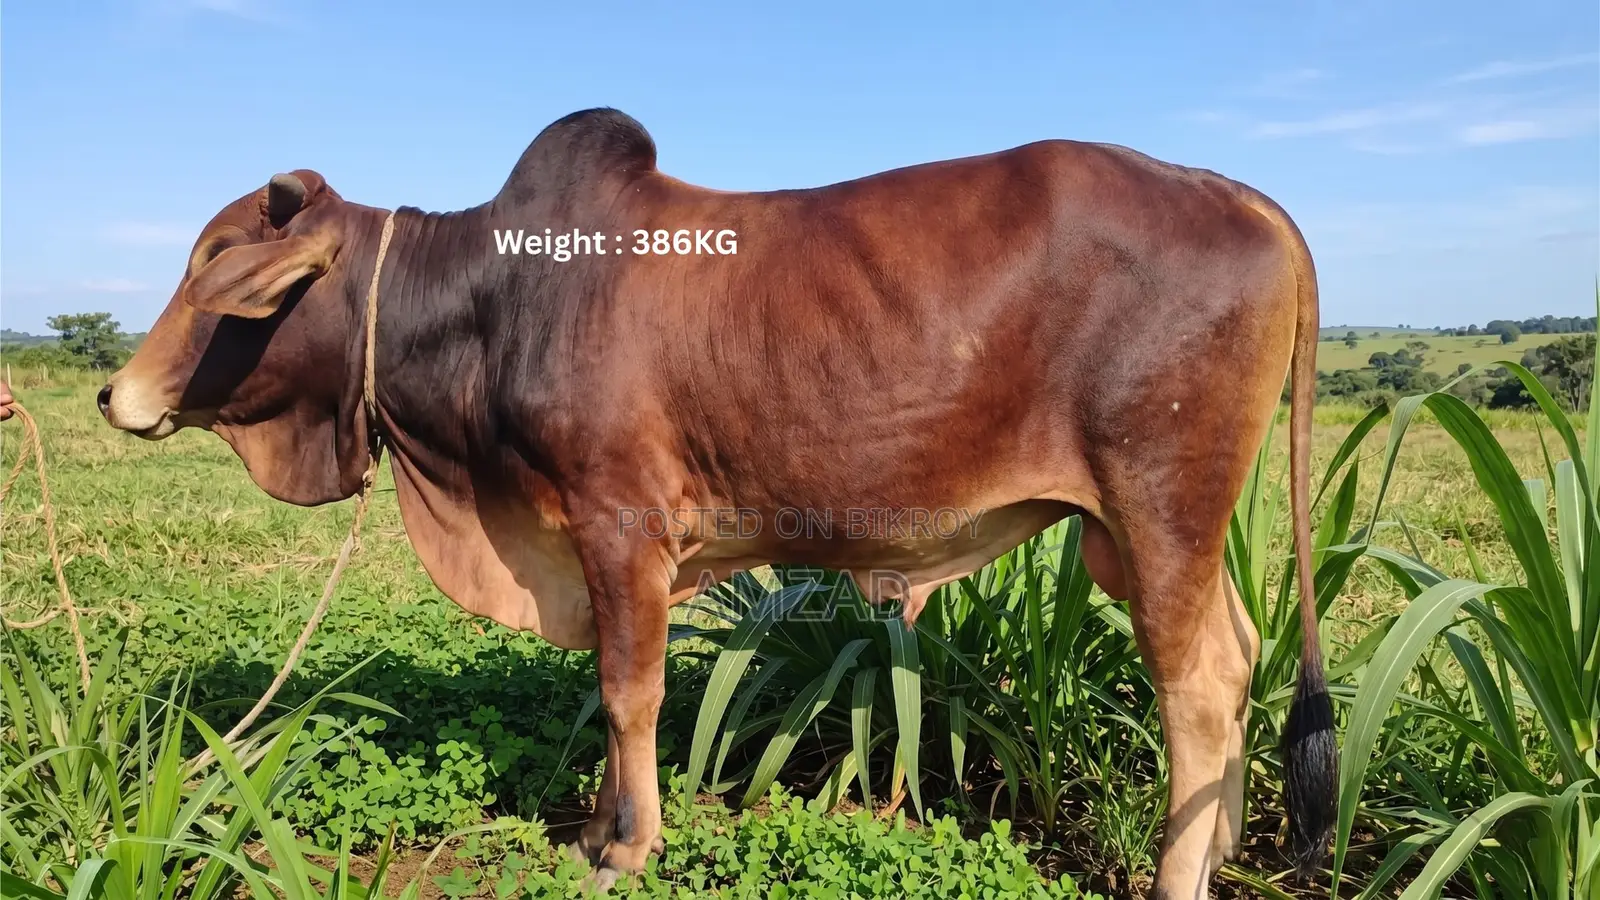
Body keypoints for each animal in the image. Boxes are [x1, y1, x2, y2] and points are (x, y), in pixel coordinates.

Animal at [98, 107, 1336, 897]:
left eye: (215, 259)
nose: (116, 393)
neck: (493, 302)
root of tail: (1241, 194)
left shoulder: (619, 527)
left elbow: (629, 692)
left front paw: (626, 848)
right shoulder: (591, 547)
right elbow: (610, 697)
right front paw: (599, 824)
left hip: (1160, 504)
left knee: (1198, 688)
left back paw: (1180, 876)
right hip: (1134, 532)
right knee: (1237, 655)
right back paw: (1218, 844)